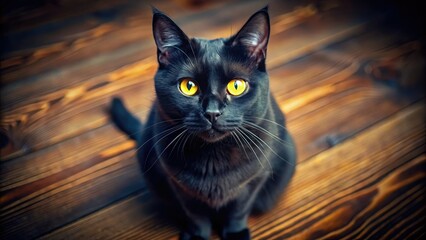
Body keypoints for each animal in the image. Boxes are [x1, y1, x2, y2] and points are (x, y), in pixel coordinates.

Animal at [110, 6, 296, 239]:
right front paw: (197, 235)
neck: (213, 158)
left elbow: (239, 209)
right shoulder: (178, 184)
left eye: (237, 86)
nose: (212, 112)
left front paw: (235, 233)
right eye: (188, 86)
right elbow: (195, 214)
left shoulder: (255, 179)